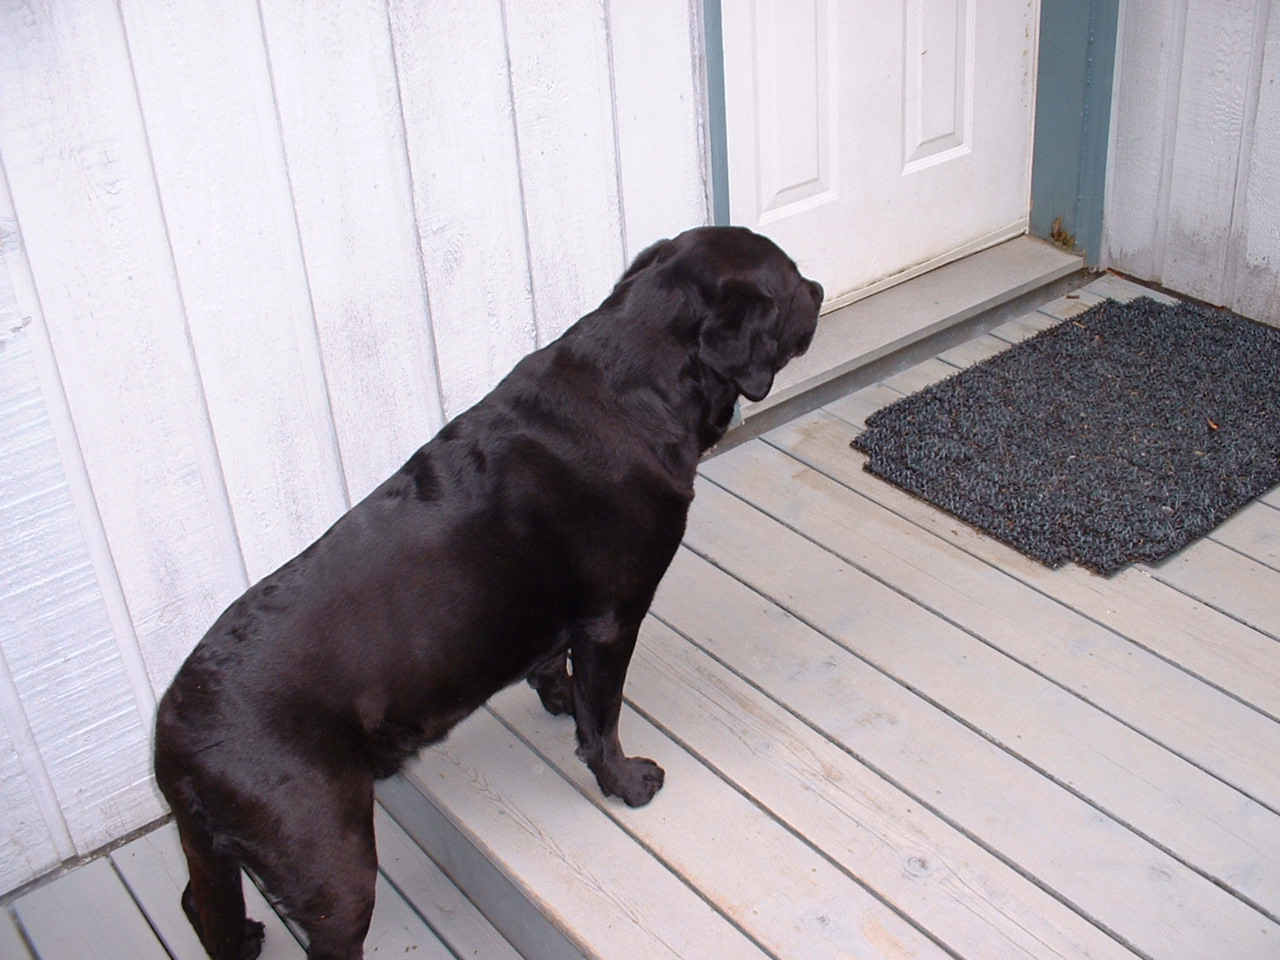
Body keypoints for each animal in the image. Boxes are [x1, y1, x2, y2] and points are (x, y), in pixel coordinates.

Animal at [154, 227, 824, 960]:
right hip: (330, 855)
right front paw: (625, 781)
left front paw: (559, 698)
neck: (632, 385)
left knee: (199, 900)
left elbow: (555, 668)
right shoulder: (612, 617)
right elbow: (604, 719)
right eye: (792, 281)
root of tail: (175, 729)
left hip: (217, 849)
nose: (821, 289)